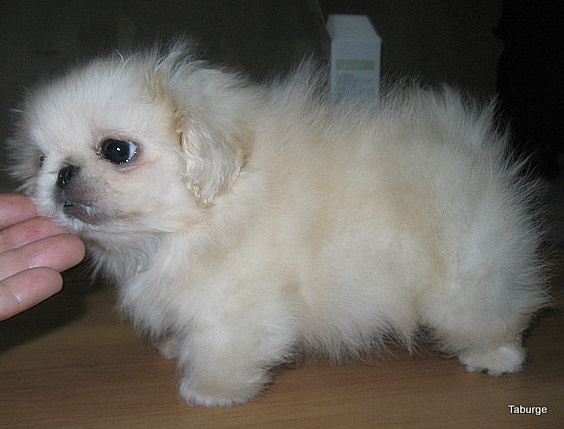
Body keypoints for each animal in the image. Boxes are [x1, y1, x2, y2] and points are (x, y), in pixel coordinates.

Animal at [8, 41, 548, 407]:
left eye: (117, 150)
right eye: (41, 161)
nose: (62, 174)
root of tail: (471, 149)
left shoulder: (235, 306)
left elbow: (222, 349)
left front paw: (208, 392)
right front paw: (176, 349)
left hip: (462, 283)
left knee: (495, 315)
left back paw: (496, 358)